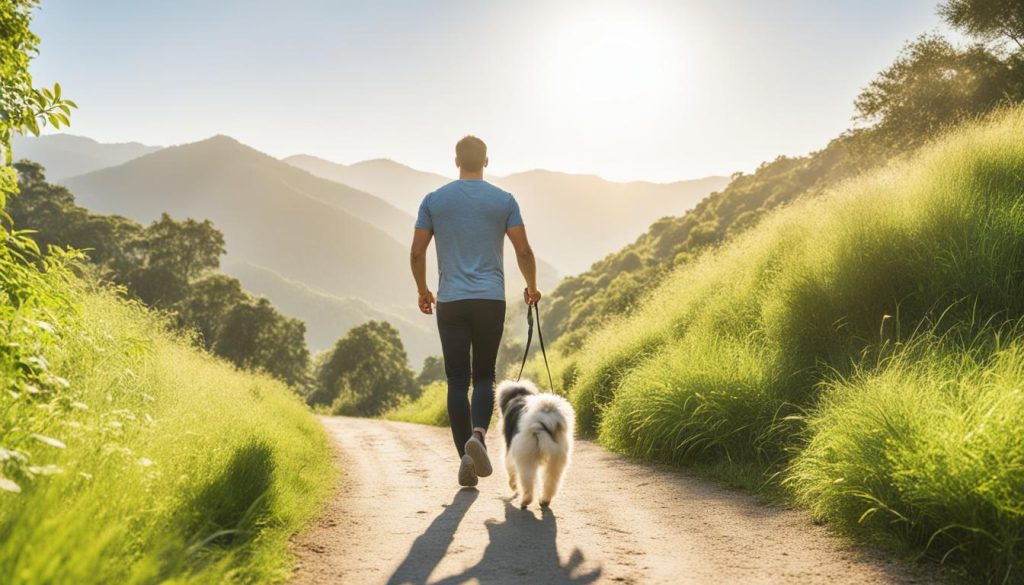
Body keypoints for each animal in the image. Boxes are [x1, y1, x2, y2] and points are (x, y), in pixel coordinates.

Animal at [497, 379, 577, 508]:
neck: (519, 395)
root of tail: (541, 425)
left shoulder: (509, 451)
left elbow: (510, 470)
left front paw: (513, 487)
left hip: (527, 459)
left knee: (528, 482)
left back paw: (526, 500)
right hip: (557, 459)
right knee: (551, 481)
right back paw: (544, 500)